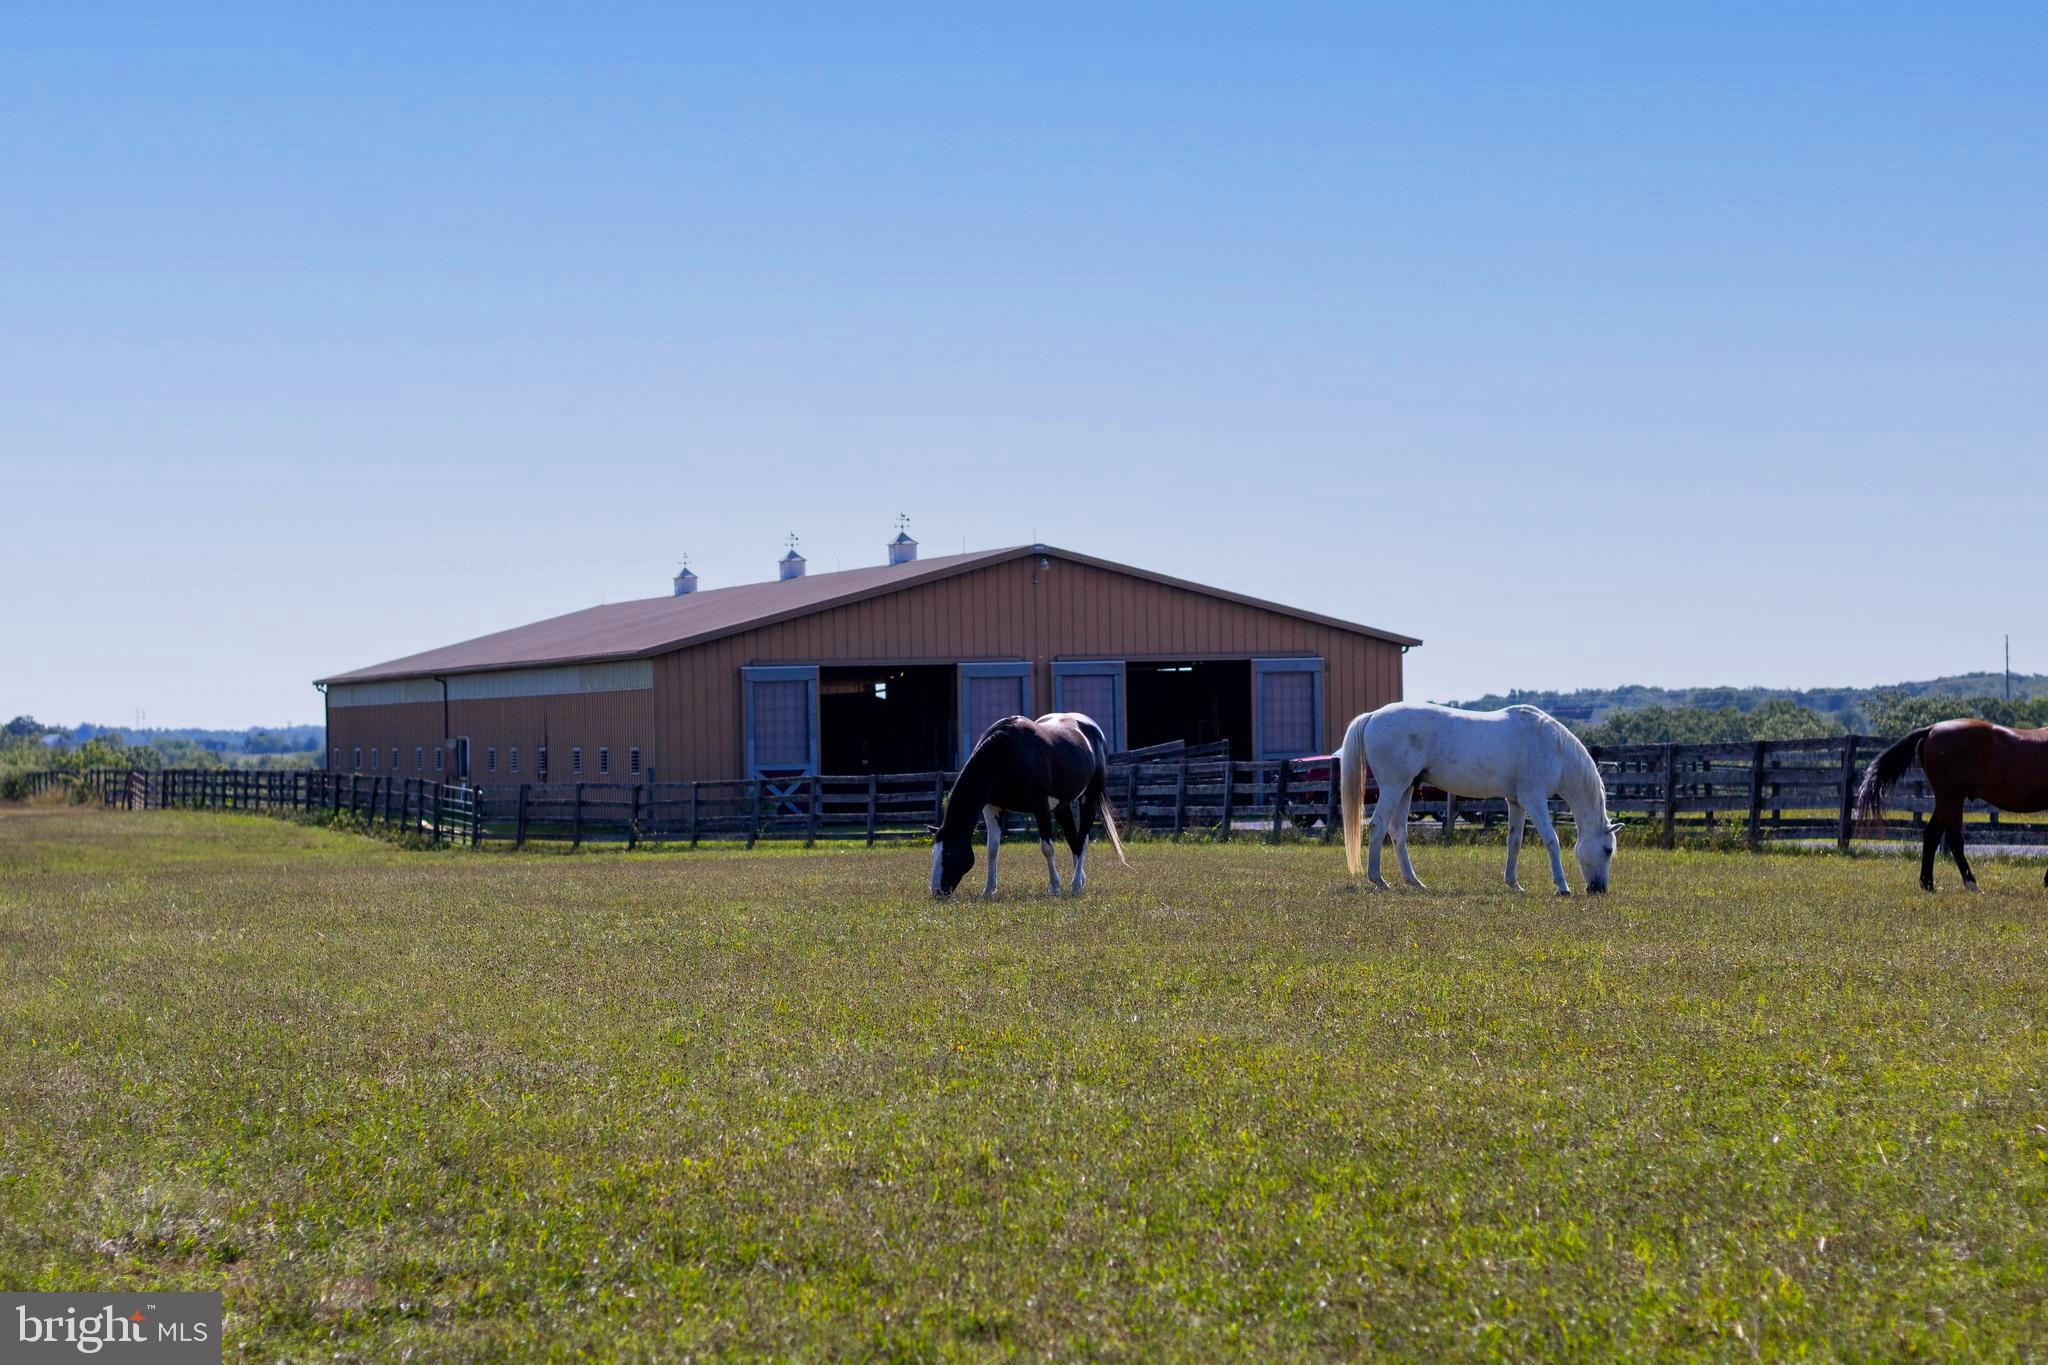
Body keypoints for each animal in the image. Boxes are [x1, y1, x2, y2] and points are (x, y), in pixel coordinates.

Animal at [933, 712, 1130, 900]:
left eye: (948, 853)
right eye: (933, 852)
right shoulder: (992, 807)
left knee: (1082, 840)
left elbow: (1047, 848)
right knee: (1073, 839)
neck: (1005, 754)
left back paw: (1074, 886)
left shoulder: (1040, 806)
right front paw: (988, 890)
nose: (936, 891)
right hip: (1061, 805)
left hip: (1089, 797)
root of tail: (1094, 731)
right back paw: (1080, 882)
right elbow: (992, 849)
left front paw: (1055, 888)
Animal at [1335, 703, 1622, 896]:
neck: (1553, 748)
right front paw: (1562, 886)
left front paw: (1514, 884)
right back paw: (1378, 880)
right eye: (1608, 850)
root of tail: (1373, 716)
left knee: (1397, 832)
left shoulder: (1516, 803)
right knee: (1377, 826)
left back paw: (1414, 881)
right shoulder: (1535, 800)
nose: (1599, 889)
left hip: (1407, 788)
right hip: (1393, 787)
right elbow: (1551, 840)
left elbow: (1514, 842)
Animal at [1859, 716, 2048, 896]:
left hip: (1955, 801)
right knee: (1933, 834)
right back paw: (1929, 884)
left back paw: (1970, 884)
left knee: (1954, 839)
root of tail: (1931, 729)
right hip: (1949, 799)